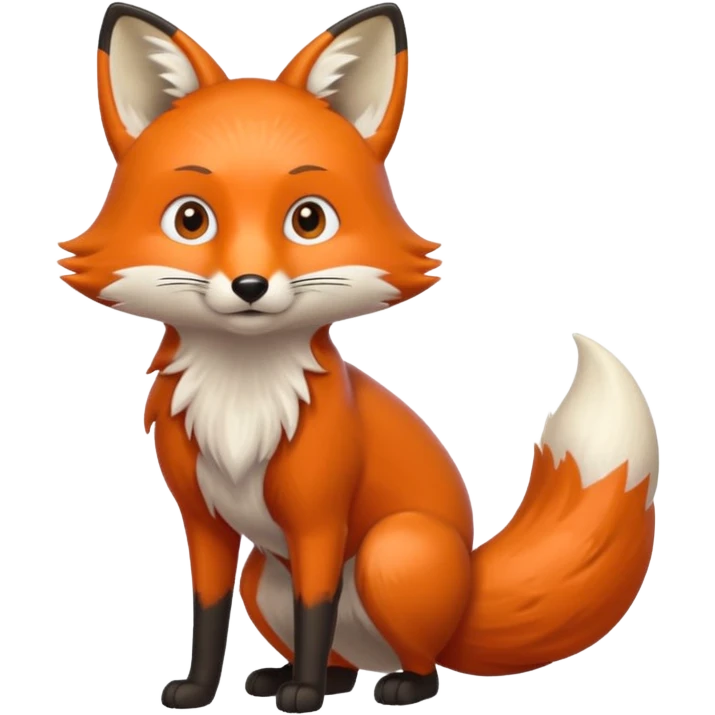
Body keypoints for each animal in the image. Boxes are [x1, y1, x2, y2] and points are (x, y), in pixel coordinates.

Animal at [58, 2, 660, 712]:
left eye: (308, 220)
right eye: (190, 220)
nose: (250, 285)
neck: (242, 398)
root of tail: (468, 590)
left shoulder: (320, 518)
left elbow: (314, 606)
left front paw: (305, 696)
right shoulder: (202, 521)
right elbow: (206, 615)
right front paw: (201, 690)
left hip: (391, 552)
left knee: (418, 658)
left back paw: (387, 684)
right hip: (264, 577)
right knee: (339, 653)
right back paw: (304, 676)